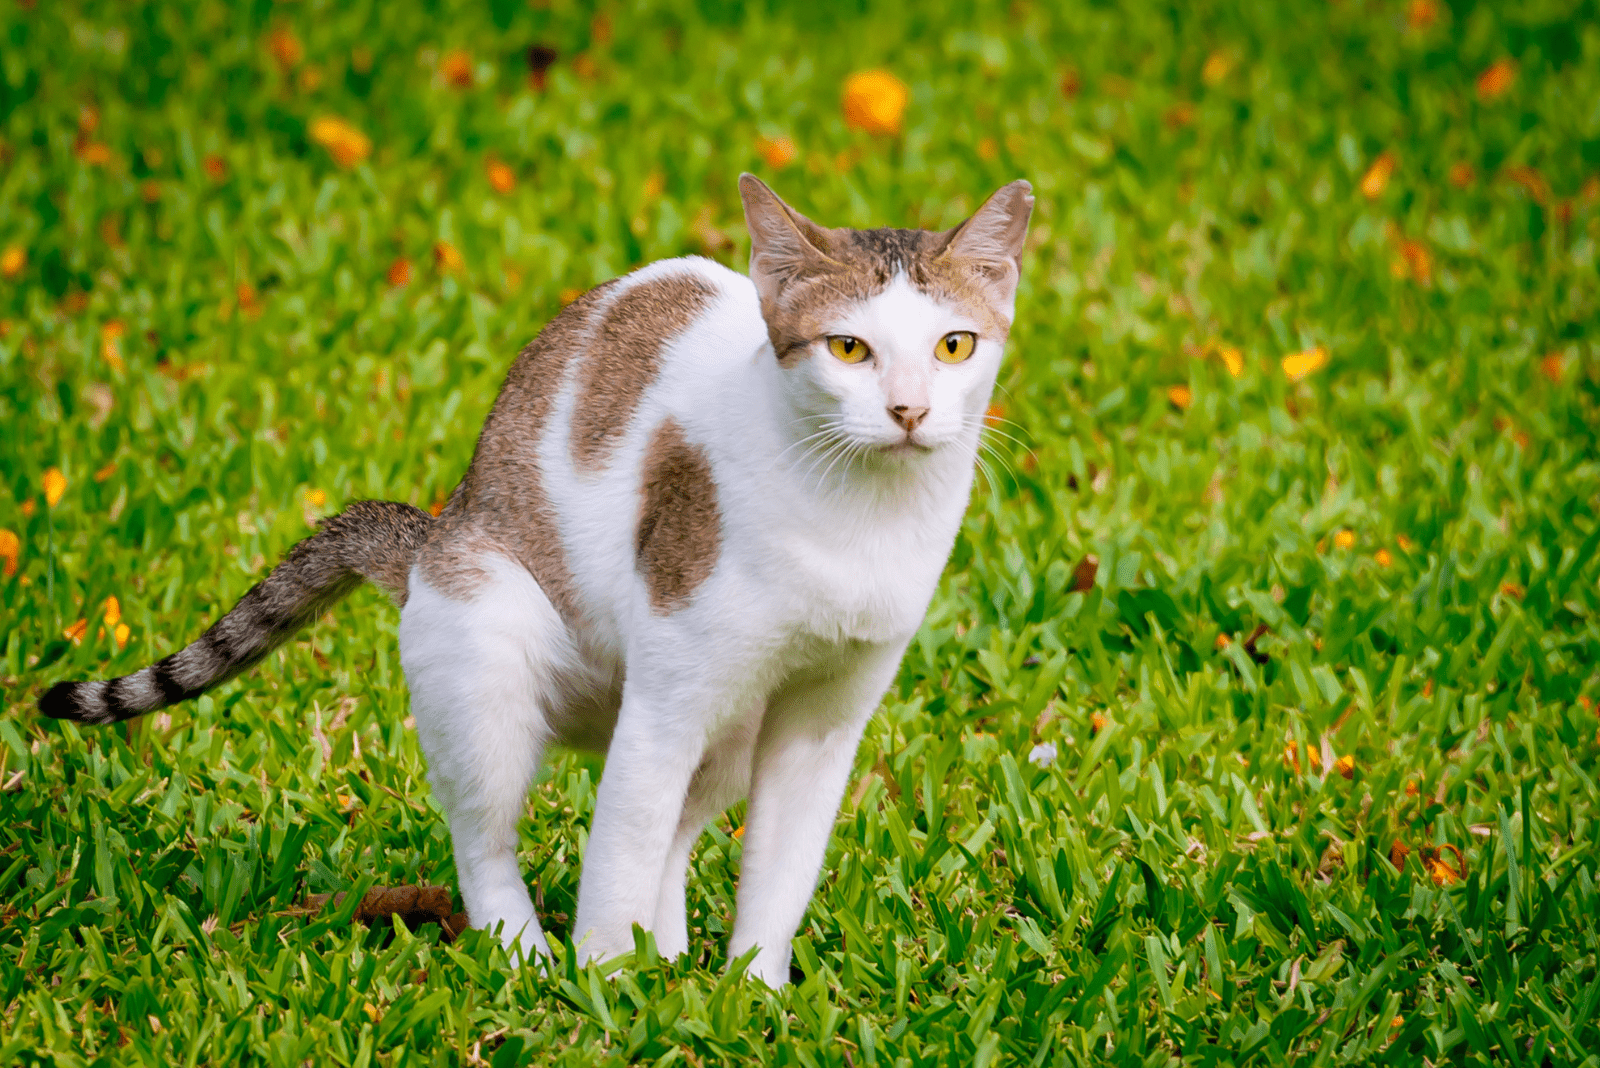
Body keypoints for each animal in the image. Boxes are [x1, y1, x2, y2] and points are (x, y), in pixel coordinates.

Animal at [43, 173, 1036, 984]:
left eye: (954, 347)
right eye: (849, 349)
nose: (908, 411)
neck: (861, 519)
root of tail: (432, 534)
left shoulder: (824, 722)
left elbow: (773, 873)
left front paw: (750, 994)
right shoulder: (670, 688)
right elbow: (620, 847)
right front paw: (604, 996)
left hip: (728, 724)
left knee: (677, 825)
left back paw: (666, 953)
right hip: (491, 640)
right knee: (488, 834)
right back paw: (524, 953)